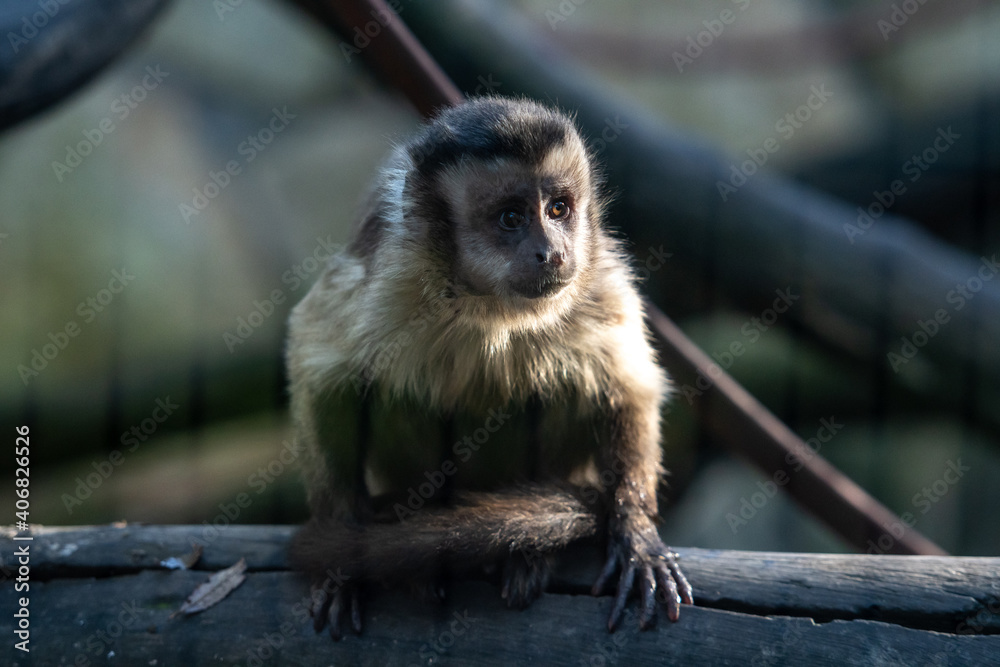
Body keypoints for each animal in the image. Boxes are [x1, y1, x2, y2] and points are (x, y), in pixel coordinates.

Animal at [286, 96, 693, 639]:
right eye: (511, 218)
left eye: (558, 209)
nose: (553, 252)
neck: (487, 305)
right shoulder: (386, 281)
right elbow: (319, 372)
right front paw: (341, 560)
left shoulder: (595, 277)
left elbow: (625, 386)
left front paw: (637, 534)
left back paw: (525, 552)